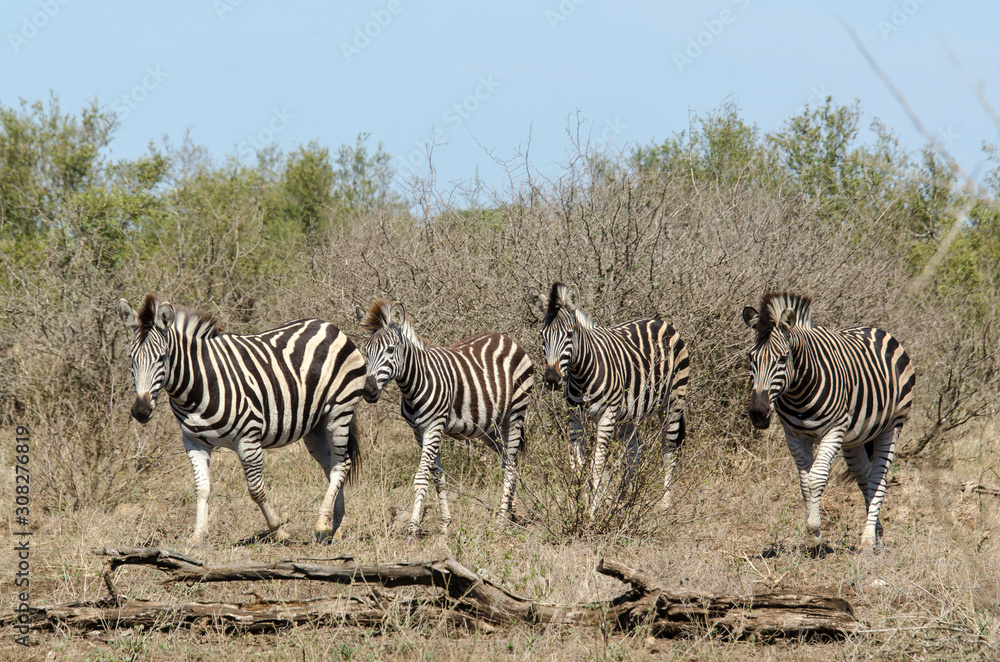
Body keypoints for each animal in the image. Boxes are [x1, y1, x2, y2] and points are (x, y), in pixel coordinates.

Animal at [118, 296, 368, 544]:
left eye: (162, 358)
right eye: (130, 358)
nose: (141, 411)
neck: (198, 386)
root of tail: (329, 326)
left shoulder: (248, 439)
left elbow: (256, 490)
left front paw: (278, 531)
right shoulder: (193, 442)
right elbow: (202, 488)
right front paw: (198, 534)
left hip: (339, 412)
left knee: (341, 465)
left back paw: (322, 523)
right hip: (314, 426)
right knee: (331, 466)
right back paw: (335, 526)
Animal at [356, 298, 536, 536]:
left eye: (391, 350)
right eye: (366, 351)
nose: (368, 390)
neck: (414, 382)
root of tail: (506, 339)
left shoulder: (434, 426)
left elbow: (421, 478)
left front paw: (413, 527)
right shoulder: (419, 431)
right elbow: (437, 477)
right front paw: (445, 524)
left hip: (515, 413)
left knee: (509, 465)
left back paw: (500, 520)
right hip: (490, 429)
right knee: (510, 461)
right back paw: (511, 513)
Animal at [532, 282, 688, 516]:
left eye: (569, 334)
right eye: (543, 336)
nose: (551, 379)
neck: (580, 374)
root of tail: (660, 322)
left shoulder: (606, 416)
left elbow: (597, 466)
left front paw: (591, 511)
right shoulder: (575, 418)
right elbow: (577, 465)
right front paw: (579, 503)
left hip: (673, 403)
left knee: (668, 452)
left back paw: (665, 505)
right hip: (628, 416)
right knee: (635, 453)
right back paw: (620, 501)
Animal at [744, 294, 916, 552]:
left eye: (783, 358)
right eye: (751, 358)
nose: (758, 412)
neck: (798, 391)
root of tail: (876, 329)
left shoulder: (834, 431)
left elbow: (816, 478)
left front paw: (814, 528)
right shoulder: (794, 436)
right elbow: (805, 482)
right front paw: (813, 538)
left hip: (891, 426)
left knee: (879, 479)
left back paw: (867, 540)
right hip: (854, 439)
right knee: (865, 477)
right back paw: (876, 531)